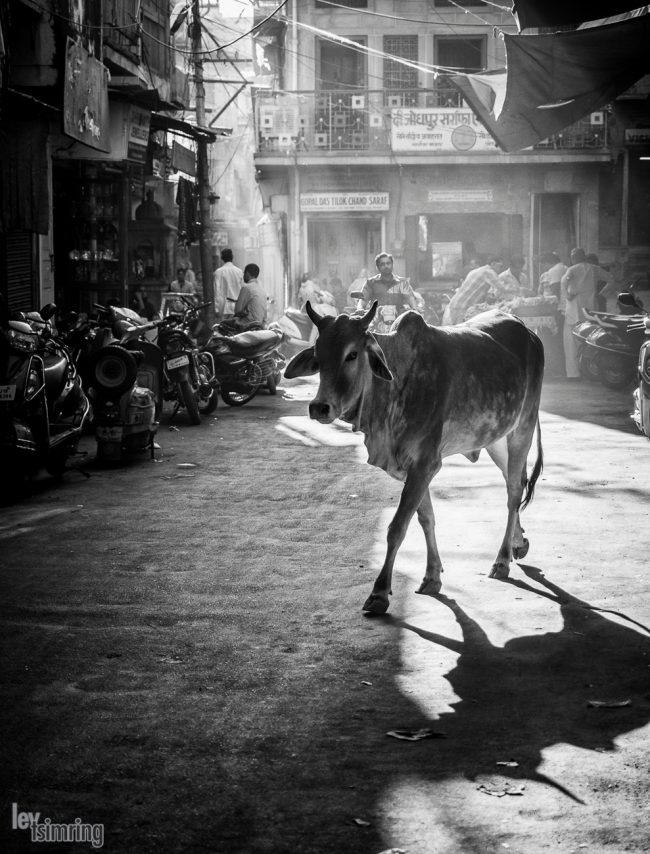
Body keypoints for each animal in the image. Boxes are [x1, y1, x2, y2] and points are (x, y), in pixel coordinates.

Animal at [284, 300, 540, 616]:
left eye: (352, 354)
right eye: (318, 357)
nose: (319, 407)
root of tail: (528, 331)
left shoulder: (425, 463)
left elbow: (397, 527)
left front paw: (379, 593)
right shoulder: (411, 468)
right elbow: (425, 518)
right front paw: (432, 577)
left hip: (523, 429)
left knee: (514, 491)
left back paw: (502, 559)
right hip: (496, 438)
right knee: (515, 480)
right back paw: (519, 542)